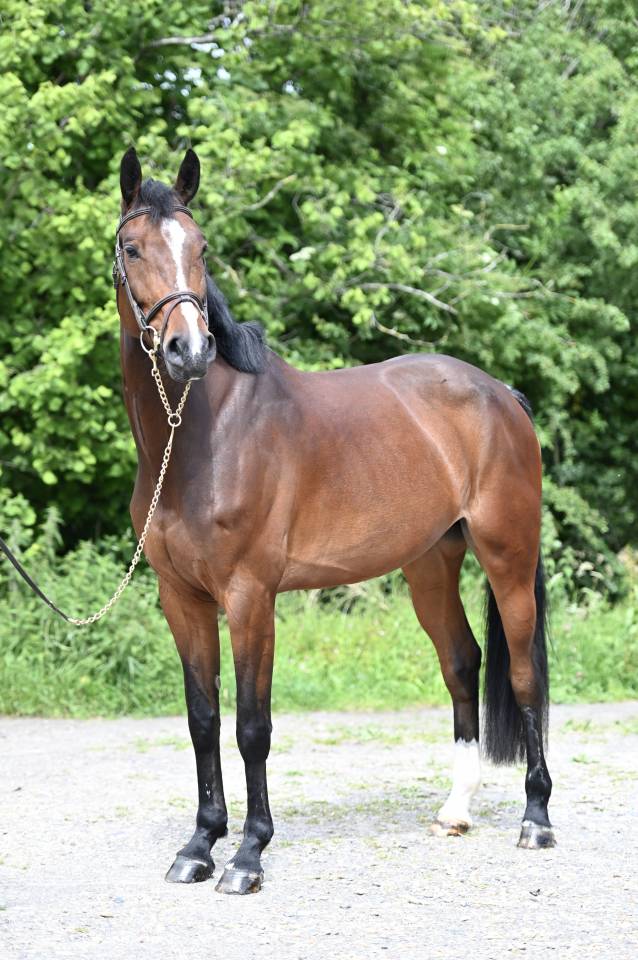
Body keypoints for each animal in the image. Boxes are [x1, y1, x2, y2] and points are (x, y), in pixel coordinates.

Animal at [114, 147, 554, 895]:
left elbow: (252, 726)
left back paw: (536, 820)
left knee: (522, 671)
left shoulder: (251, 597)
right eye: (132, 247)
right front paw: (199, 846)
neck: (203, 436)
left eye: (200, 248)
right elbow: (202, 720)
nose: (188, 350)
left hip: (508, 558)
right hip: (430, 563)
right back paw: (456, 809)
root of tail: (501, 395)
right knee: (461, 661)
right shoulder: (181, 598)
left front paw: (248, 855)